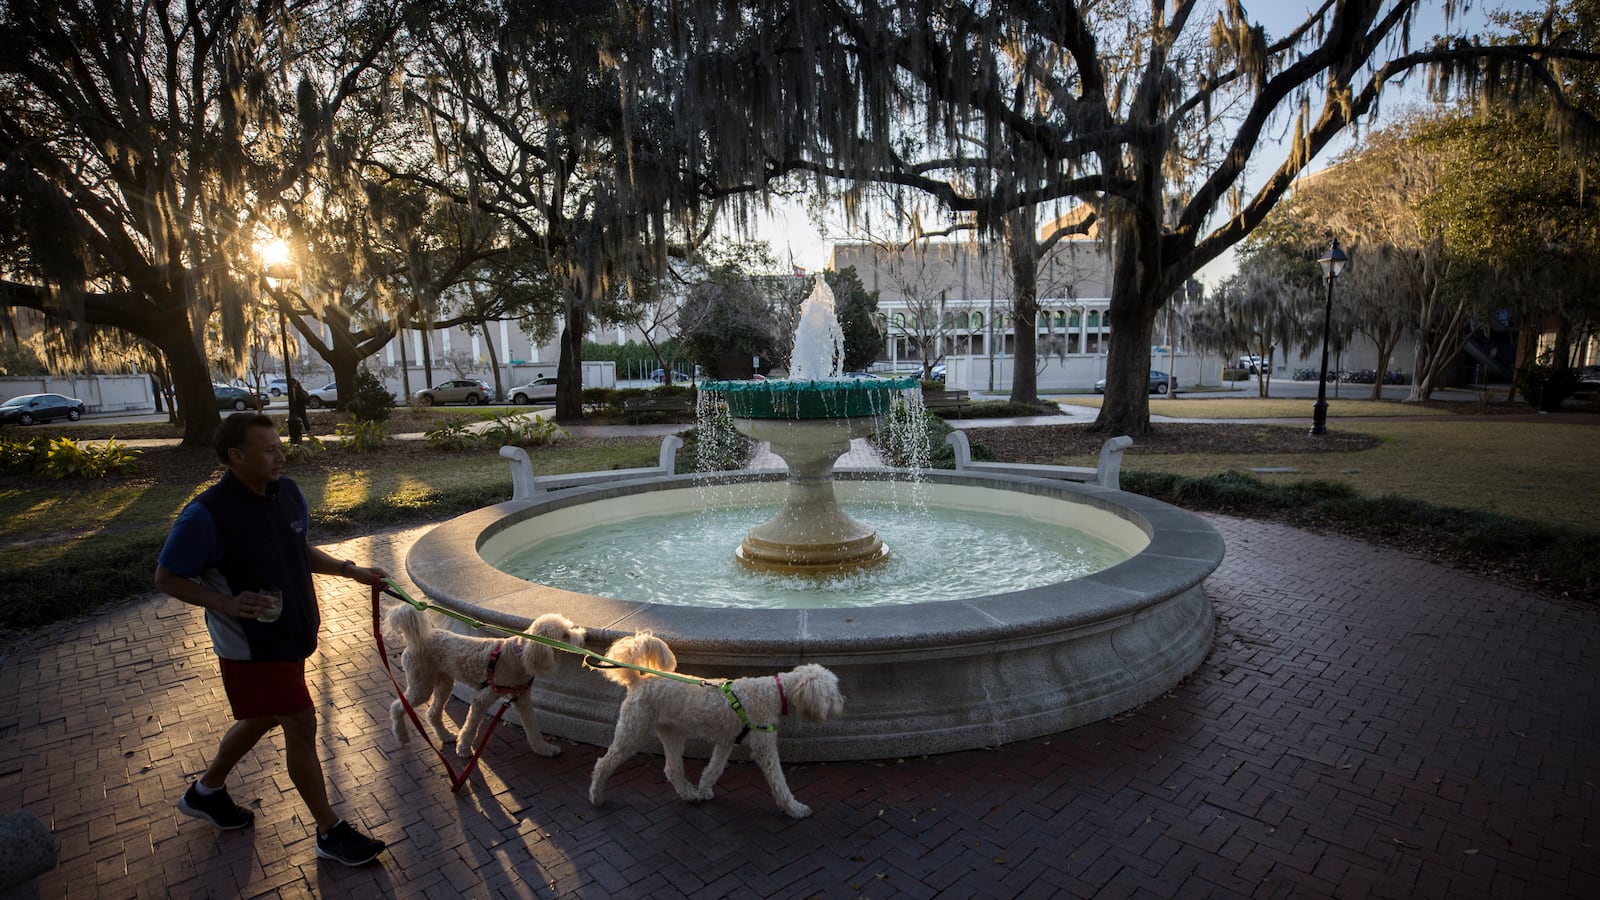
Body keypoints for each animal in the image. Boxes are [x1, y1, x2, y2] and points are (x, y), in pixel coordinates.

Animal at [384, 602, 585, 755]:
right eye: (565, 635)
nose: (583, 637)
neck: (518, 655)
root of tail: (417, 640)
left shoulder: (522, 699)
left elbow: (532, 726)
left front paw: (544, 749)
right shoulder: (483, 698)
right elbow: (471, 726)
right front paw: (464, 749)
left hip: (444, 682)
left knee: (432, 713)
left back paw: (445, 736)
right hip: (421, 685)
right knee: (396, 706)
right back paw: (401, 735)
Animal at [585, 630, 838, 813]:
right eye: (831, 694)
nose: (841, 704)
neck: (773, 693)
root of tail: (638, 680)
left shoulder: (726, 742)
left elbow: (714, 768)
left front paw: (704, 789)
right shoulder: (764, 747)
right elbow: (779, 781)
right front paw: (795, 808)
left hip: (671, 733)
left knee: (672, 769)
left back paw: (690, 795)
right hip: (632, 731)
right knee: (603, 763)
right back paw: (596, 796)